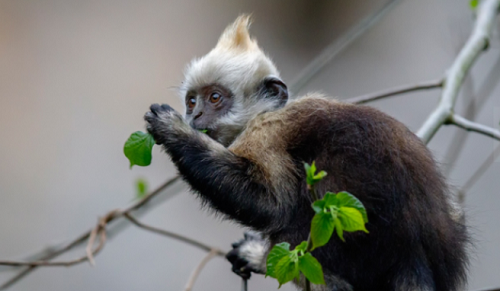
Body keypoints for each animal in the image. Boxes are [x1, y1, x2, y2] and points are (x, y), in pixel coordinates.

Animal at [145, 16, 468, 291]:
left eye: (215, 98)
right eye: (192, 101)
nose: (195, 116)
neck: (264, 114)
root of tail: (412, 249)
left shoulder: (268, 133)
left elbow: (273, 206)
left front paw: (174, 131)